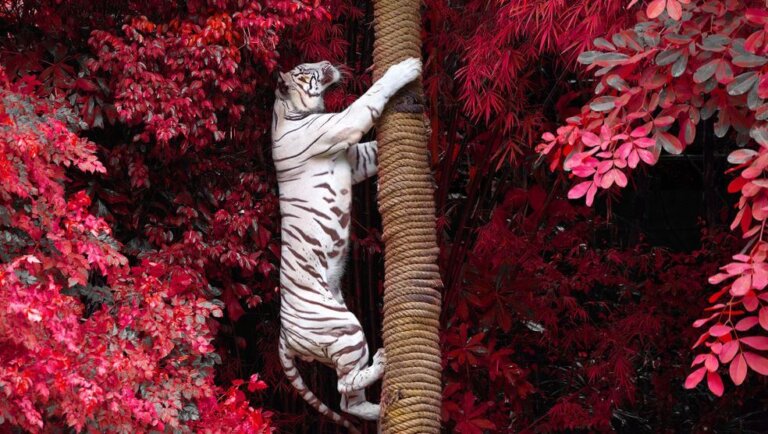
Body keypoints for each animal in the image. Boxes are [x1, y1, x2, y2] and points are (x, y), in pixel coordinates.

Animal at [271, 57, 422, 431]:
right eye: (306, 70)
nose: (326, 61)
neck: (288, 110)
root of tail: (283, 336)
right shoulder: (342, 125)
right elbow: (372, 96)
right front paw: (406, 68)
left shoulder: (355, 159)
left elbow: (374, 149)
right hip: (345, 329)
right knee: (341, 388)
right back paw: (381, 364)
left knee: (347, 399)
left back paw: (375, 409)